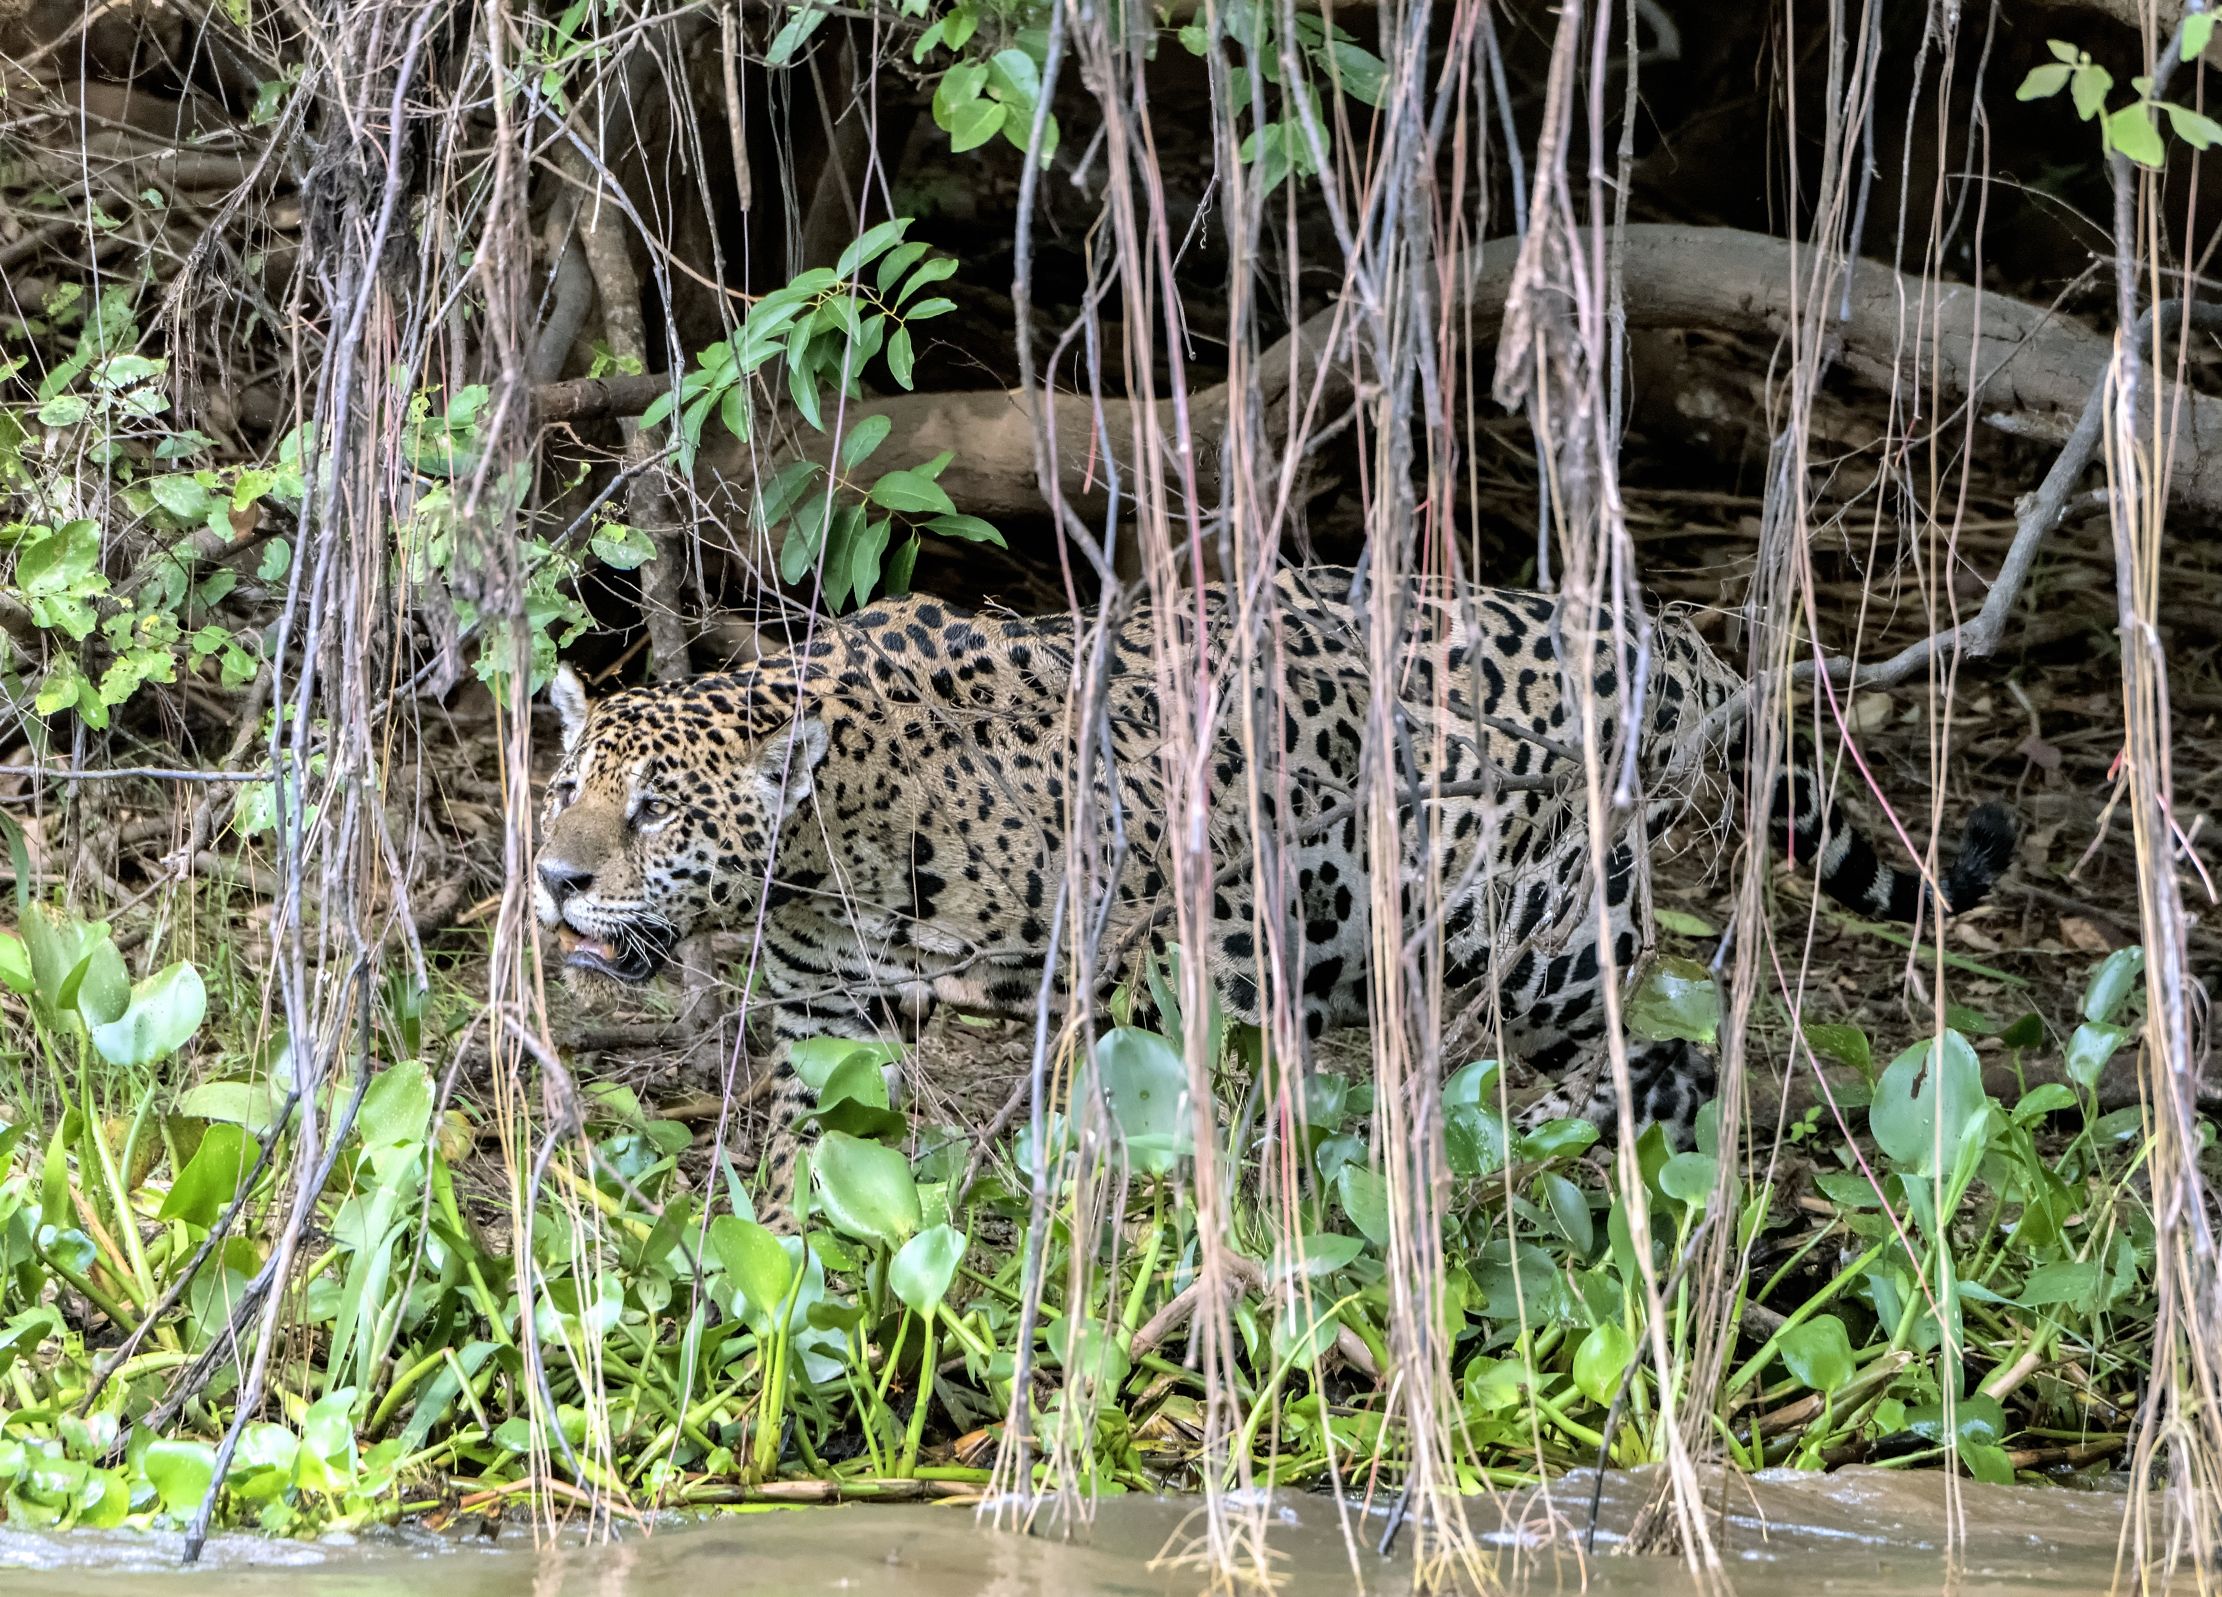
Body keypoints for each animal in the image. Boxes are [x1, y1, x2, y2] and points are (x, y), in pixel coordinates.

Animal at [534, 567, 2017, 1218]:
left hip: (1536, 923)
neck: (828, 837)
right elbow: (817, 1142)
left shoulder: (1167, 933)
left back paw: (1545, 1138)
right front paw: (799, 1254)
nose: (552, 879)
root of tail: (1658, 629)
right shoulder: (824, 1009)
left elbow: (1143, 1092)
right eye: (565, 787)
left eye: (652, 810)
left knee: (1650, 1041)